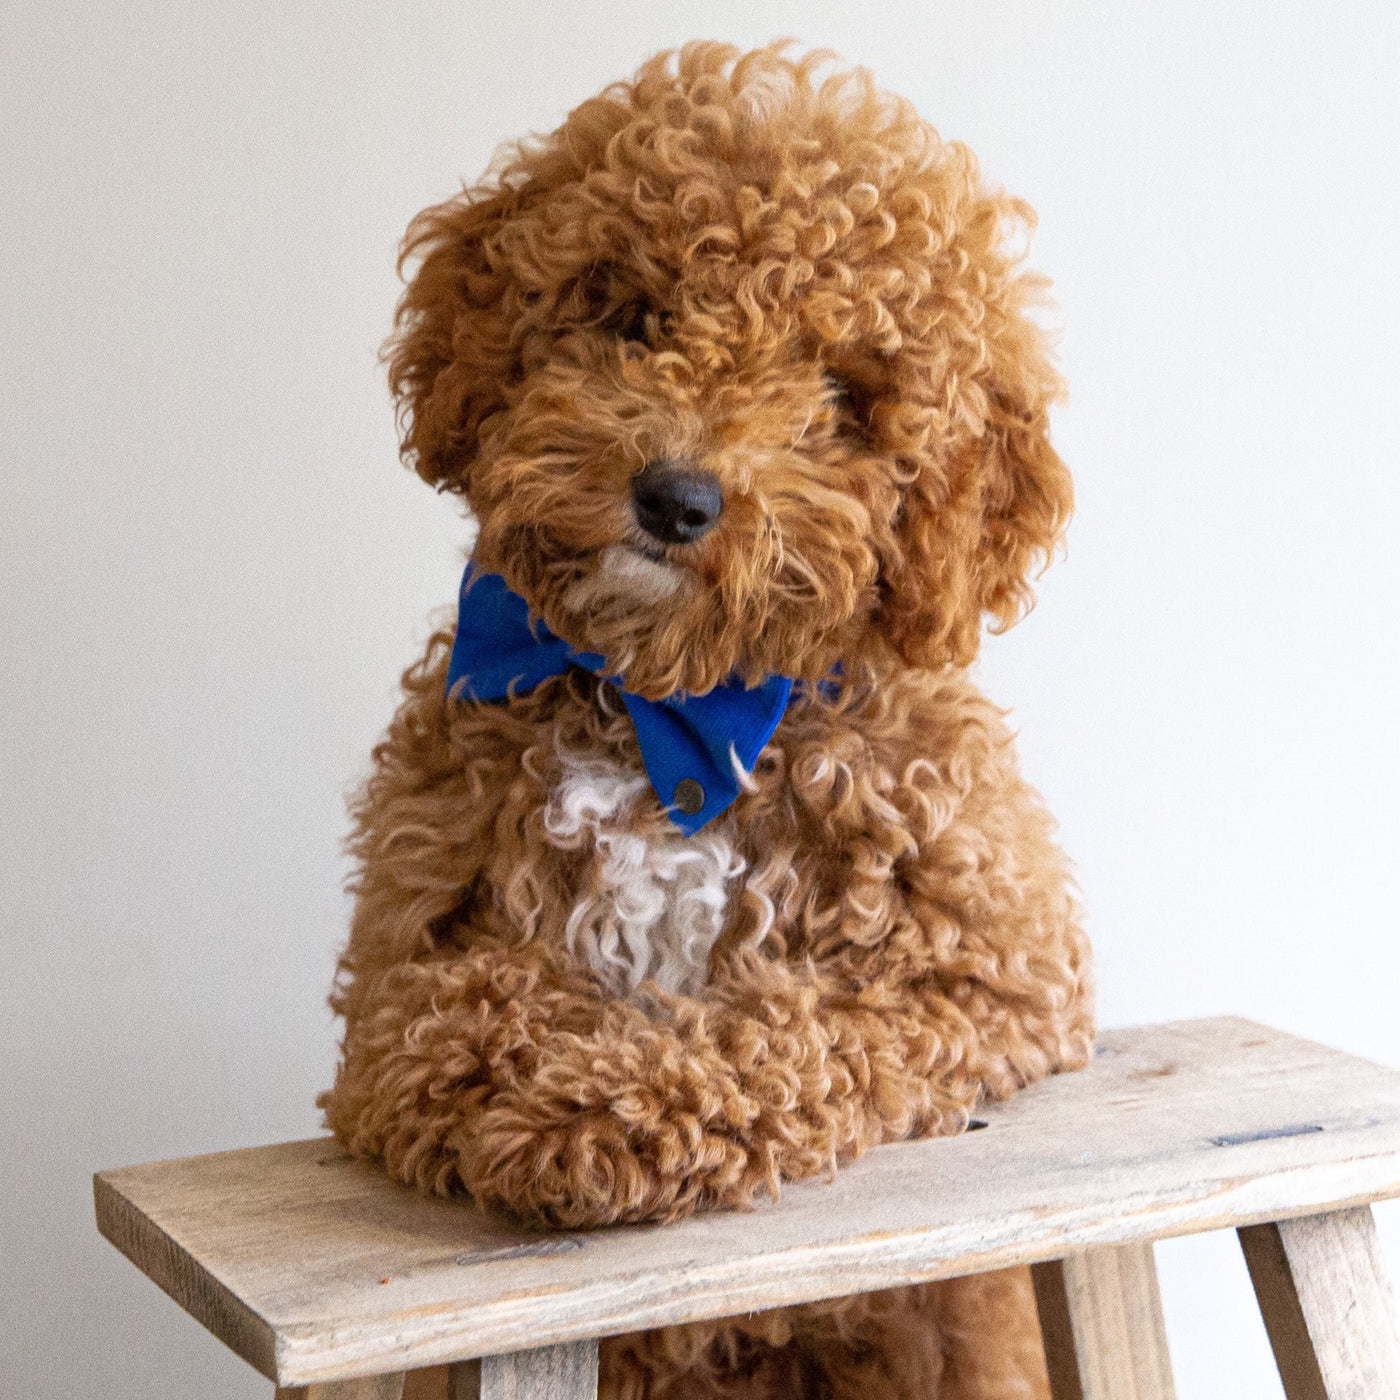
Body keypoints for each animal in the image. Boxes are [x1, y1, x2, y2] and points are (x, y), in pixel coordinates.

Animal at [324, 43, 1092, 1400]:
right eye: (633, 316)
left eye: (839, 393)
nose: (675, 496)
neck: (673, 702)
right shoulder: (392, 990)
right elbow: (472, 1009)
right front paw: (553, 1087)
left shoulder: (992, 980)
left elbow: (795, 1028)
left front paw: (608, 1105)